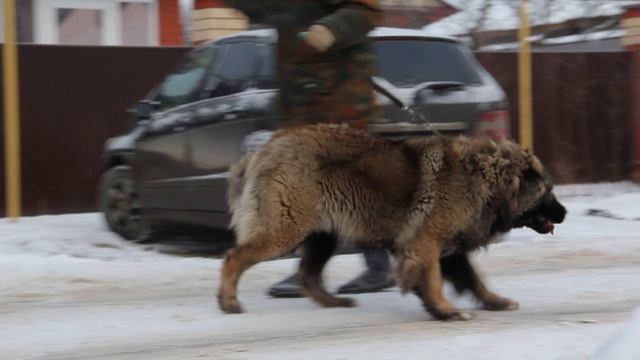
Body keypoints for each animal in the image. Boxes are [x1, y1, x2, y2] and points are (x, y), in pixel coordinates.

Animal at [219, 124, 564, 320]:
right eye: (547, 191)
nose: (565, 213)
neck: (480, 178)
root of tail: (264, 149)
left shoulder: (447, 250)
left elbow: (474, 280)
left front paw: (494, 302)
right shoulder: (425, 242)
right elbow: (433, 279)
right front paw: (445, 310)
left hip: (323, 235)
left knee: (308, 275)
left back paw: (334, 302)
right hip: (285, 229)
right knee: (234, 257)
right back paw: (229, 302)